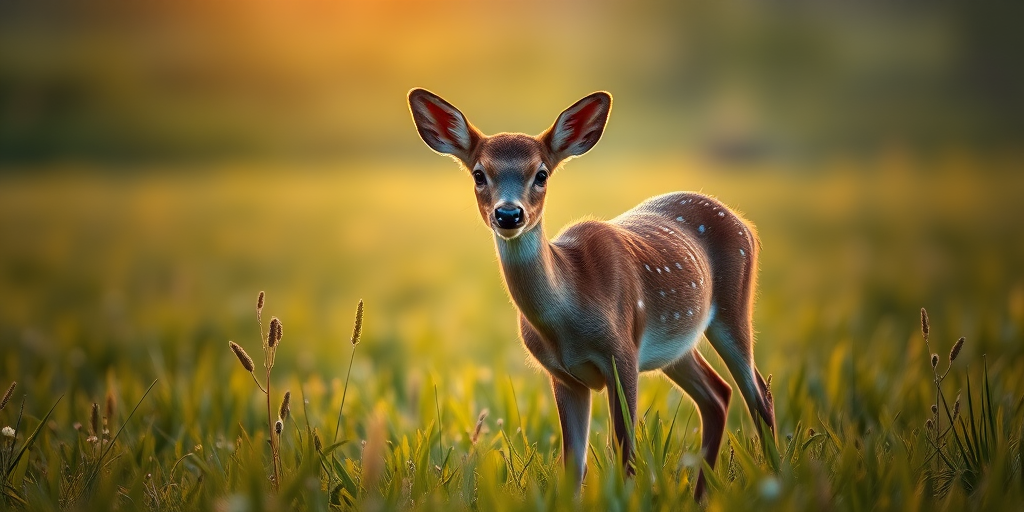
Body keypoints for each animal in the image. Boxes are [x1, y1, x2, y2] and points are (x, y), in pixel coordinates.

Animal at [407, 88, 775, 500]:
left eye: (541, 174)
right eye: (478, 174)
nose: (508, 214)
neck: (569, 311)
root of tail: (745, 224)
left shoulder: (622, 354)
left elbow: (626, 452)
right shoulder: (564, 375)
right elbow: (574, 465)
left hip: (732, 308)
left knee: (759, 394)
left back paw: (776, 477)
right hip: (678, 346)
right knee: (718, 395)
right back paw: (701, 498)